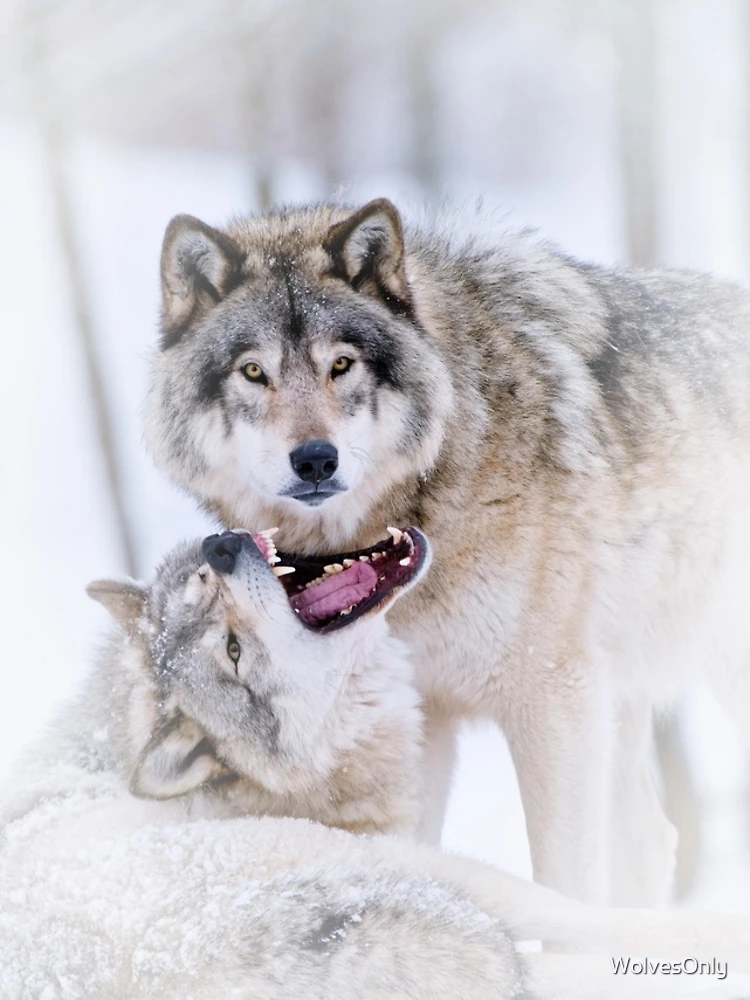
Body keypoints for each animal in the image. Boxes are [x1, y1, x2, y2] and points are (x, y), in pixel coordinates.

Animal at [2, 529, 749, 1000]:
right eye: (234, 654)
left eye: (202, 579)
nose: (222, 546)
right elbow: (580, 918)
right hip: (402, 872)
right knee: (568, 940)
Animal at [144, 198, 750, 905]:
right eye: (253, 372)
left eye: (341, 365)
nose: (316, 459)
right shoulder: (424, 719)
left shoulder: (554, 704)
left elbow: (564, 884)